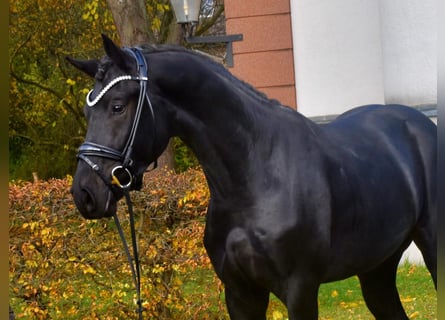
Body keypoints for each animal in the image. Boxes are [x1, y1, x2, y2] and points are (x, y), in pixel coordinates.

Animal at [67, 33, 436, 318]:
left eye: (117, 106)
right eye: (86, 111)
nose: (85, 193)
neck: (255, 177)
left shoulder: (300, 290)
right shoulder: (240, 293)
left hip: (433, 247)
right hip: (377, 268)